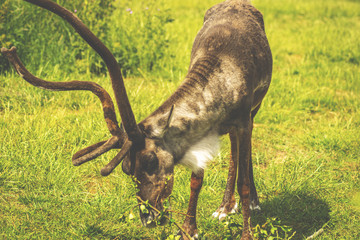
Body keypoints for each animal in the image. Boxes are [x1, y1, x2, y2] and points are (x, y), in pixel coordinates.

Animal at [1, 0, 272, 239]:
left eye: (150, 161)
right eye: (126, 168)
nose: (148, 218)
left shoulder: (244, 119)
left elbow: (243, 179)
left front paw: (247, 233)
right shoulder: (204, 133)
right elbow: (197, 179)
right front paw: (188, 230)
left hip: (255, 110)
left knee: (241, 154)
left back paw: (248, 203)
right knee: (234, 151)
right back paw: (225, 206)